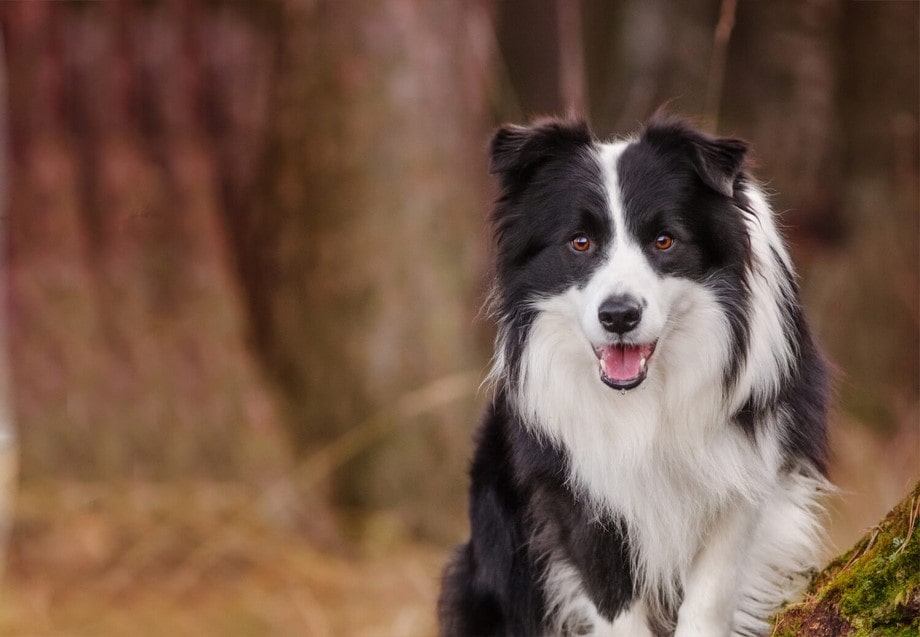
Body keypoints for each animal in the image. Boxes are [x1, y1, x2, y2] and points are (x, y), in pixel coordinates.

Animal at [438, 115, 832, 636]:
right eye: (580, 242)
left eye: (664, 240)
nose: (619, 315)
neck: (645, 396)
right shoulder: (577, 488)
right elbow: (611, 597)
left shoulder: (749, 456)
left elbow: (713, 588)